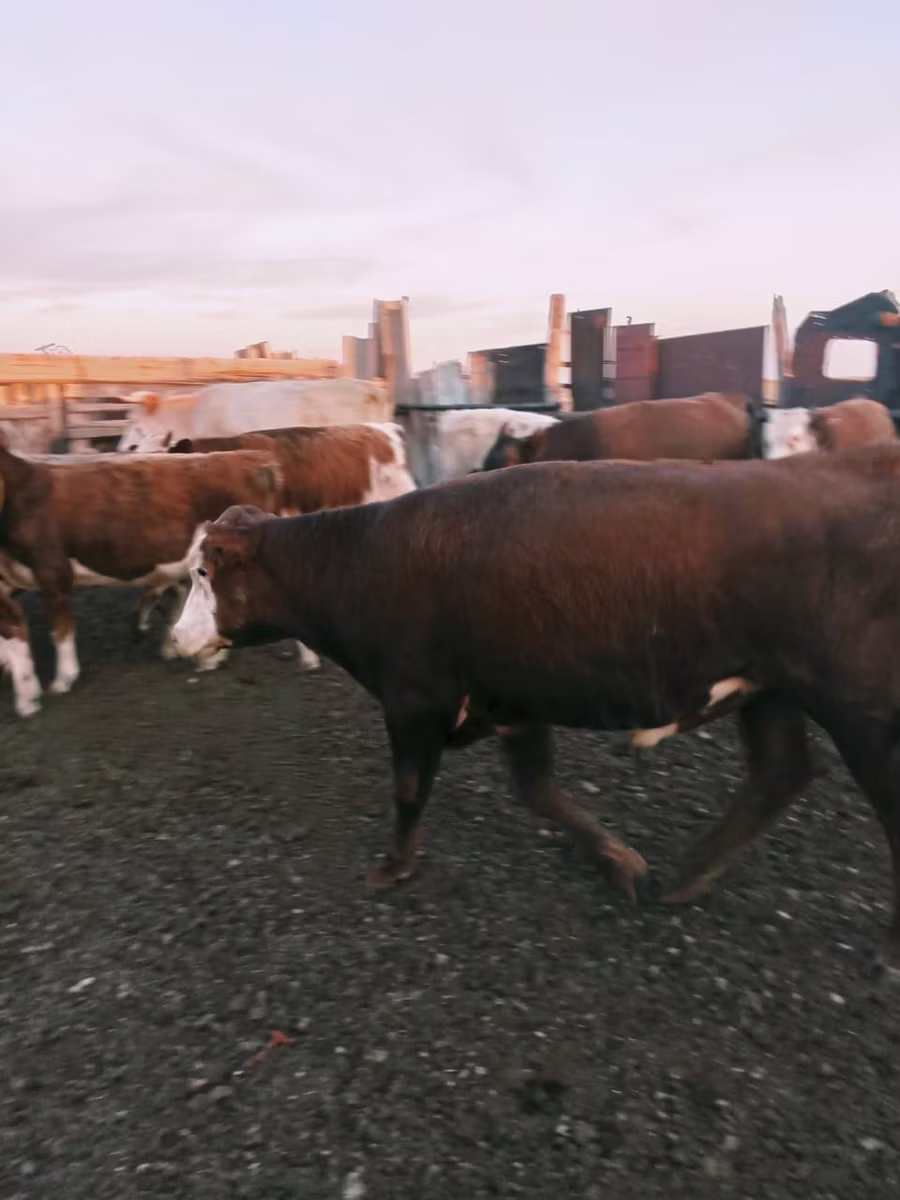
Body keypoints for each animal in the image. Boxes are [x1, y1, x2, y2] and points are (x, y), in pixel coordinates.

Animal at [0, 437, 282, 716]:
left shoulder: (53, 570)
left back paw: (207, 658)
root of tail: (256, 459)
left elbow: (59, 630)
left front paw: (60, 682)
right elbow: (13, 630)